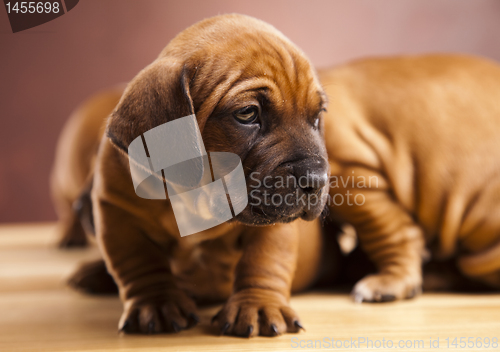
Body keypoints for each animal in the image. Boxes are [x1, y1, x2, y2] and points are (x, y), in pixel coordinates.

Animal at [52, 14, 332, 338]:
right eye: (247, 114)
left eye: (317, 117)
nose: (317, 179)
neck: (196, 198)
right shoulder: (117, 210)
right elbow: (140, 262)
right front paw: (157, 303)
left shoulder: (274, 221)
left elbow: (264, 259)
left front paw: (258, 305)